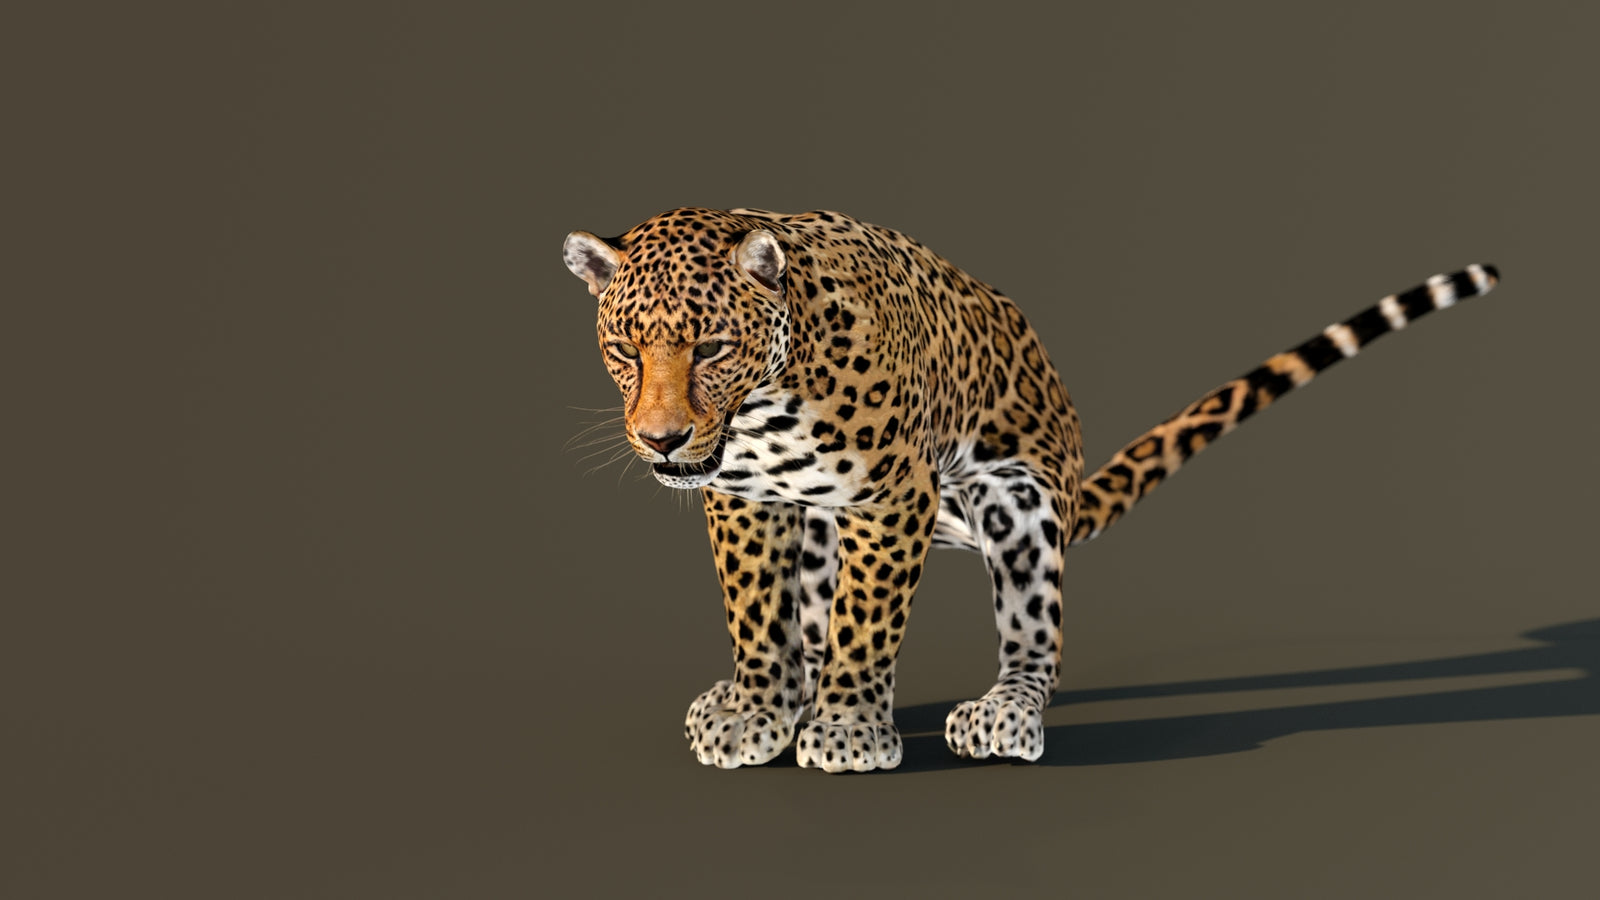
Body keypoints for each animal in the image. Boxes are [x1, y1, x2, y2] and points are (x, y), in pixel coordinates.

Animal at [562, 206, 1499, 773]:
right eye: (625, 350)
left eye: (712, 347)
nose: (661, 437)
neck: (766, 406)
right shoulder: (747, 497)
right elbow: (756, 611)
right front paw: (757, 709)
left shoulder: (891, 498)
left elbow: (869, 623)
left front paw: (848, 728)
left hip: (1017, 501)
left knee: (1034, 638)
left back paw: (1000, 712)